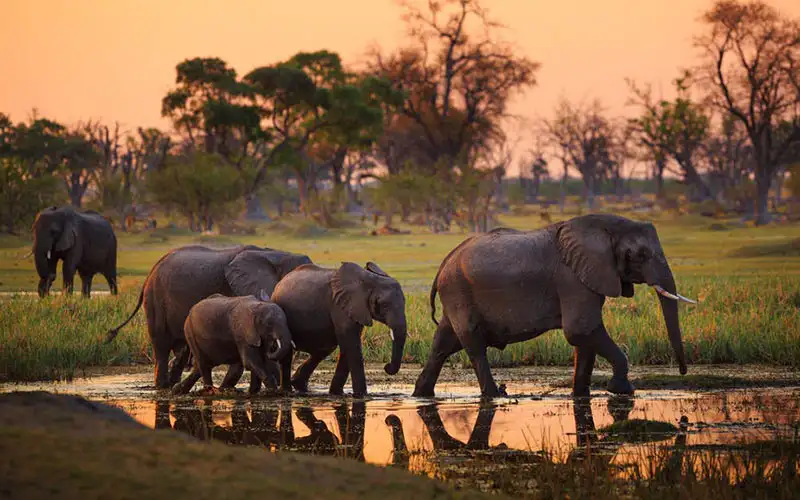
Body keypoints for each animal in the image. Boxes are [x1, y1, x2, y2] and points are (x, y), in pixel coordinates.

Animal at [105, 245, 312, 389]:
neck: (274, 254)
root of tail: (150, 272)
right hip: (155, 299)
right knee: (161, 346)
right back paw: (162, 386)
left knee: (181, 351)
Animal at [270, 261, 407, 398]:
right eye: (384, 305)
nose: (387, 366)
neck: (369, 280)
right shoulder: (339, 305)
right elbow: (352, 345)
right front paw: (361, 396)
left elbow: (348, 346)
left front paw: (337, 393)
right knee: (288, 351)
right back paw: (287, 391)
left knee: (325, 348)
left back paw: (299, 385)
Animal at [413, 214, 694, 399]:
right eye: (640, 255)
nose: (682, 371)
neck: (604, 228)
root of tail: (444, 263)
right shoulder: (572, 278)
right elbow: (580, 330)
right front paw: (621, 391)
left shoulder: (588, 277)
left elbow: (585, 339)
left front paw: (581, 395)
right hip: (458, 291)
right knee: (473, 344)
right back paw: (496, 395)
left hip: (455, 295)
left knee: (443, 343)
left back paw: (421, 395)